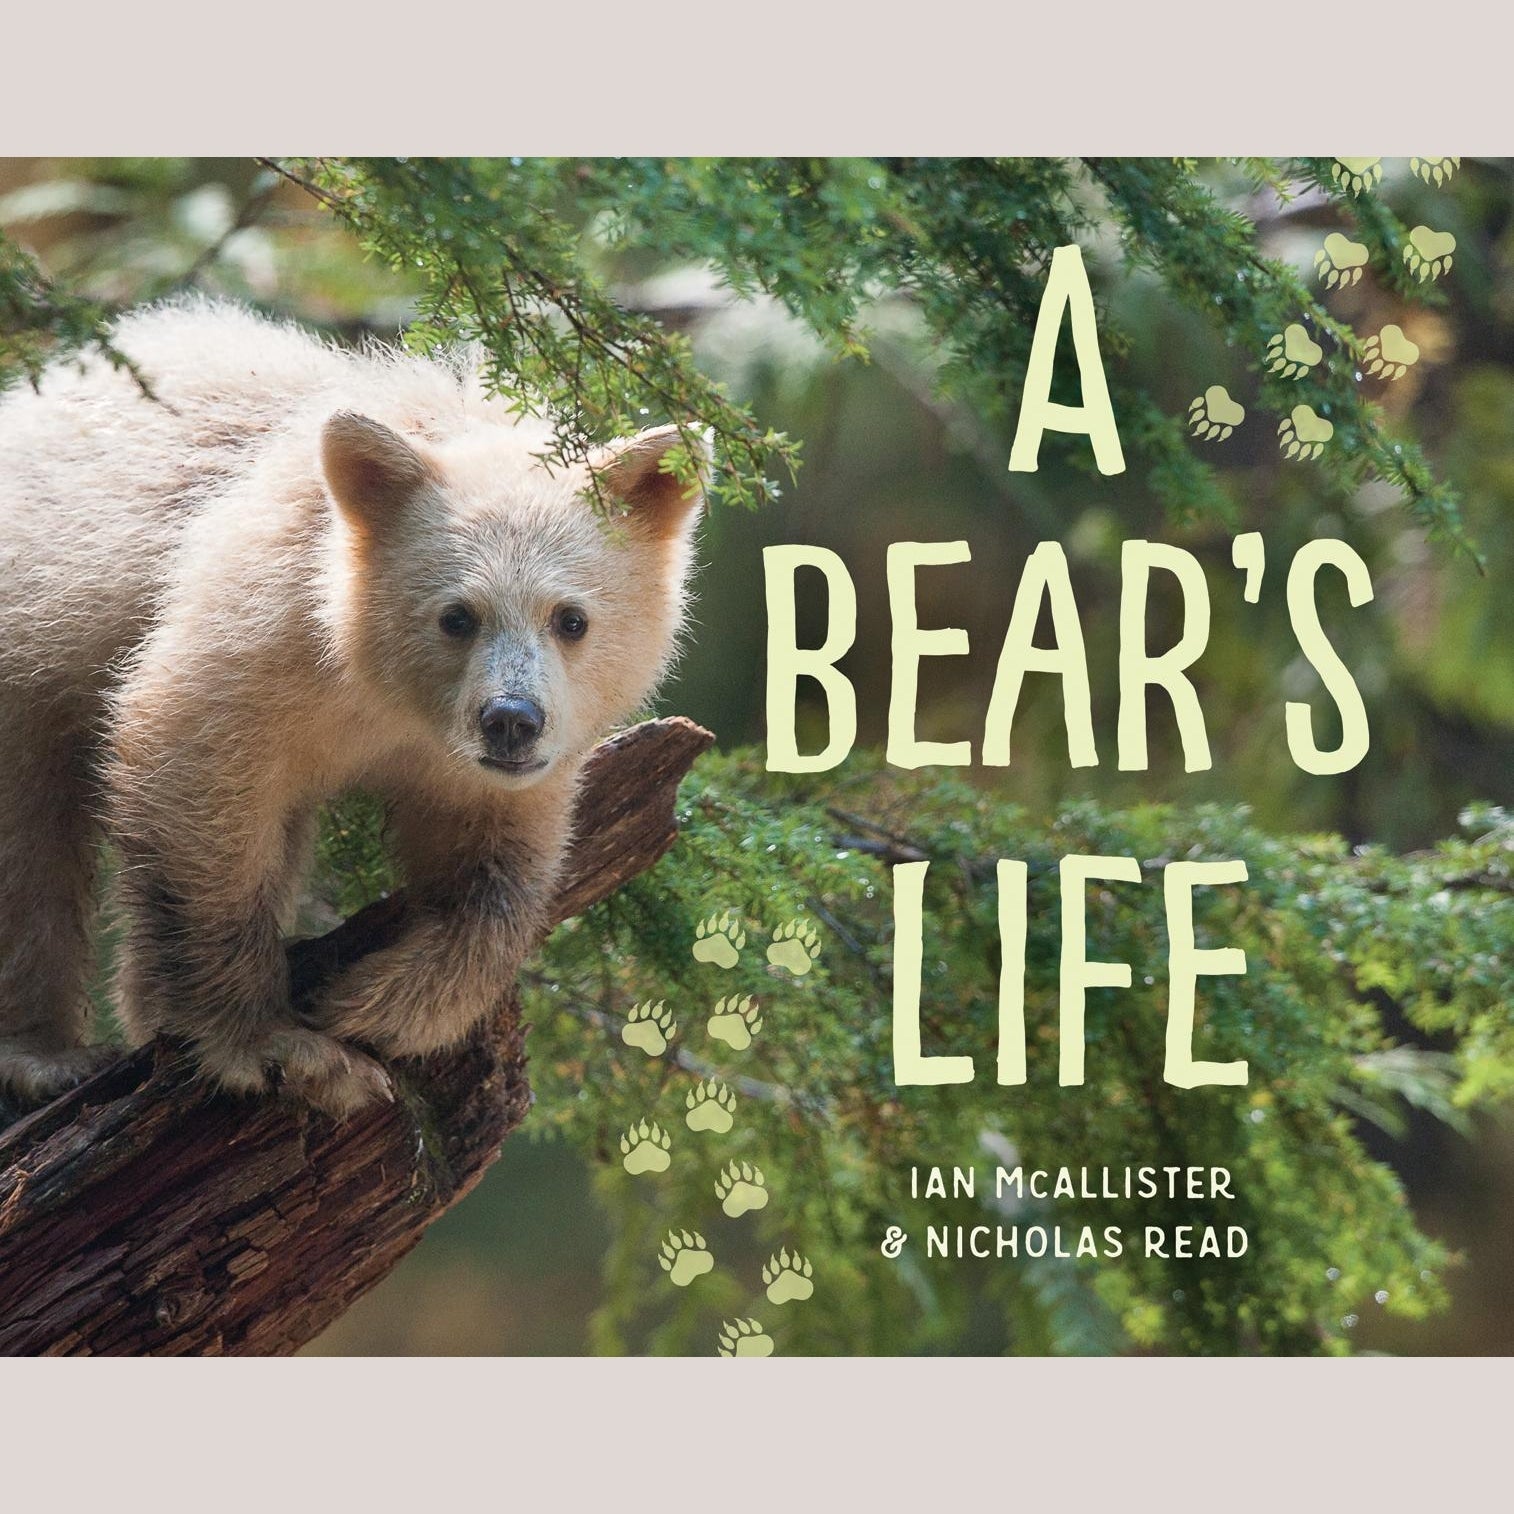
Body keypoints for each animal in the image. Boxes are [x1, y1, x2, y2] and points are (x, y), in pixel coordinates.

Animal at [0, 300, 705, 1116]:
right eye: (456, 615)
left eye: (571, 618)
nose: (511, 721)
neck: (381, 698)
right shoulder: (260, 632)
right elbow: (192, 780)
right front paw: (279, 1044)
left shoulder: (494, 768)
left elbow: (498, 865)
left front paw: (380, 1003)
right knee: (28, 841)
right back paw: (46, 1054)